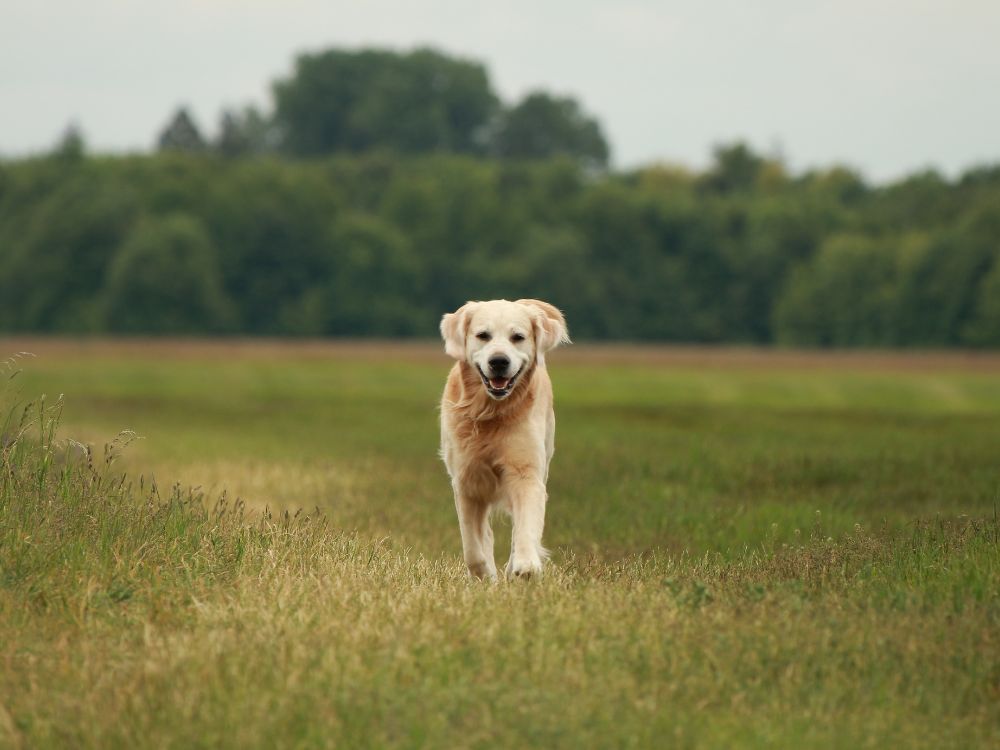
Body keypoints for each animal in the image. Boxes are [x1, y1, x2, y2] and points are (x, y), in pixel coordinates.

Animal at [440, 300, 572, 580]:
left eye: (518, 337)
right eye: (483, 335)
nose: (499, 361)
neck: (491, 411)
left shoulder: (525, 472)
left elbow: (526, 526)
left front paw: (525, 565)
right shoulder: (466, 480)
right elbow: (473, 547)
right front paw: (485, 576)